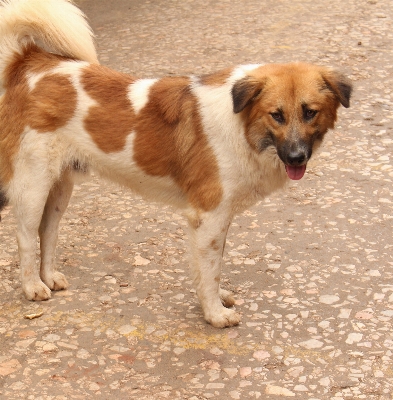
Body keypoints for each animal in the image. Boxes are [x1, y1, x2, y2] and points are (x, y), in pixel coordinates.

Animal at [0, 0, 350, 328]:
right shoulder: (209, 216)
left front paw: (215, 300)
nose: (296, 157)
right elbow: (210, 269)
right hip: (33, 185)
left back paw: (49, 277)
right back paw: (32, 286)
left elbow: (211, 268)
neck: (241, 123)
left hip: (60, 187)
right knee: (26, 236)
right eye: (276, 115)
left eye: (310, 112)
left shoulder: (215, 219)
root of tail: (29, 61)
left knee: (48, 230)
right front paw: (214, 314)